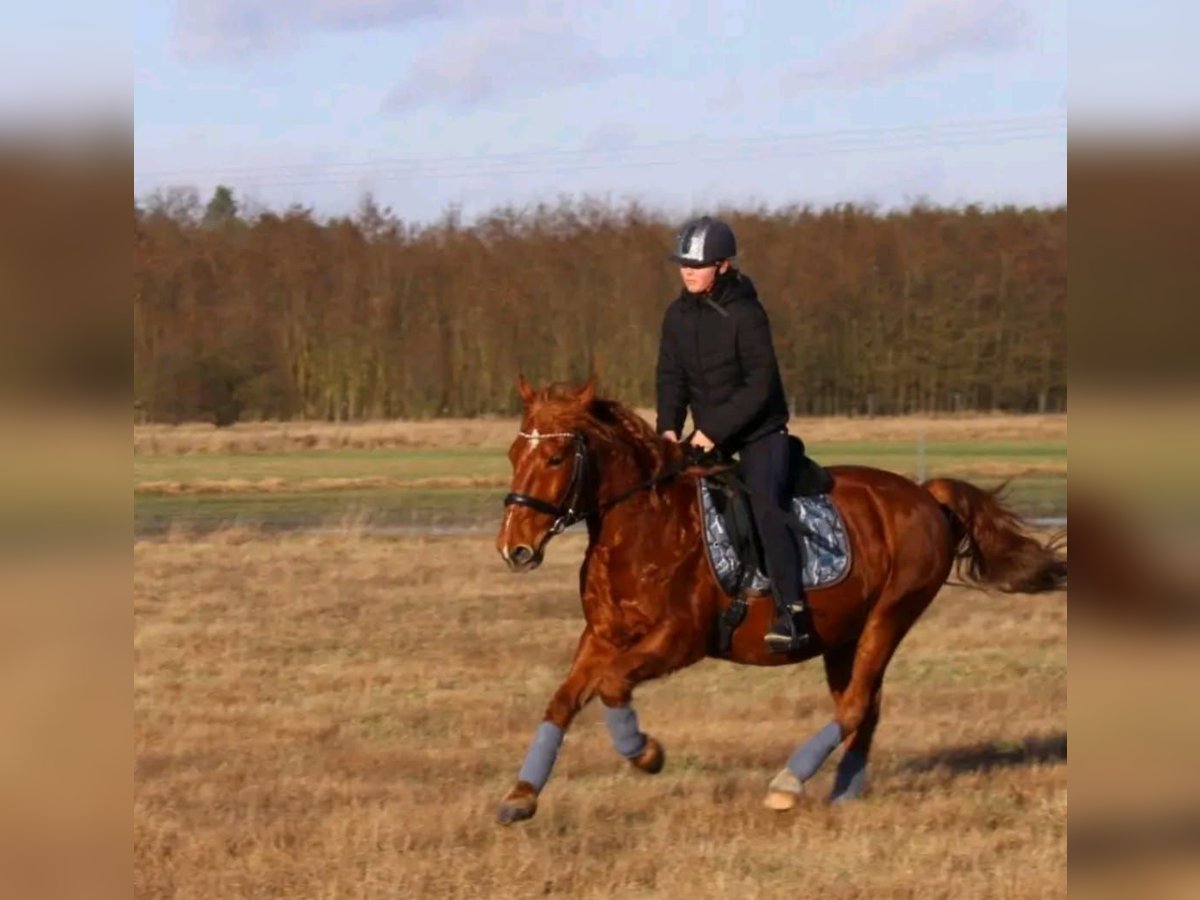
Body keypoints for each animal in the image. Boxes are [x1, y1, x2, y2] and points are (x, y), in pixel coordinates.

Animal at [492, 376, 1065, 830]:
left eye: (556, 457)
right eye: (513, 455)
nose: (513, 548)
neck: (642, 526)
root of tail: (926, 495)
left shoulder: (679, 640)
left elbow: (613, 686)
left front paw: (646, 754)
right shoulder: (602, 636)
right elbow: (562, 701)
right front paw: (521, 796)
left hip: (891, 616)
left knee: (856, 704)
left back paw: (788, 783)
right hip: (845, 635)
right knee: (865, 706)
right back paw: (843, 792)